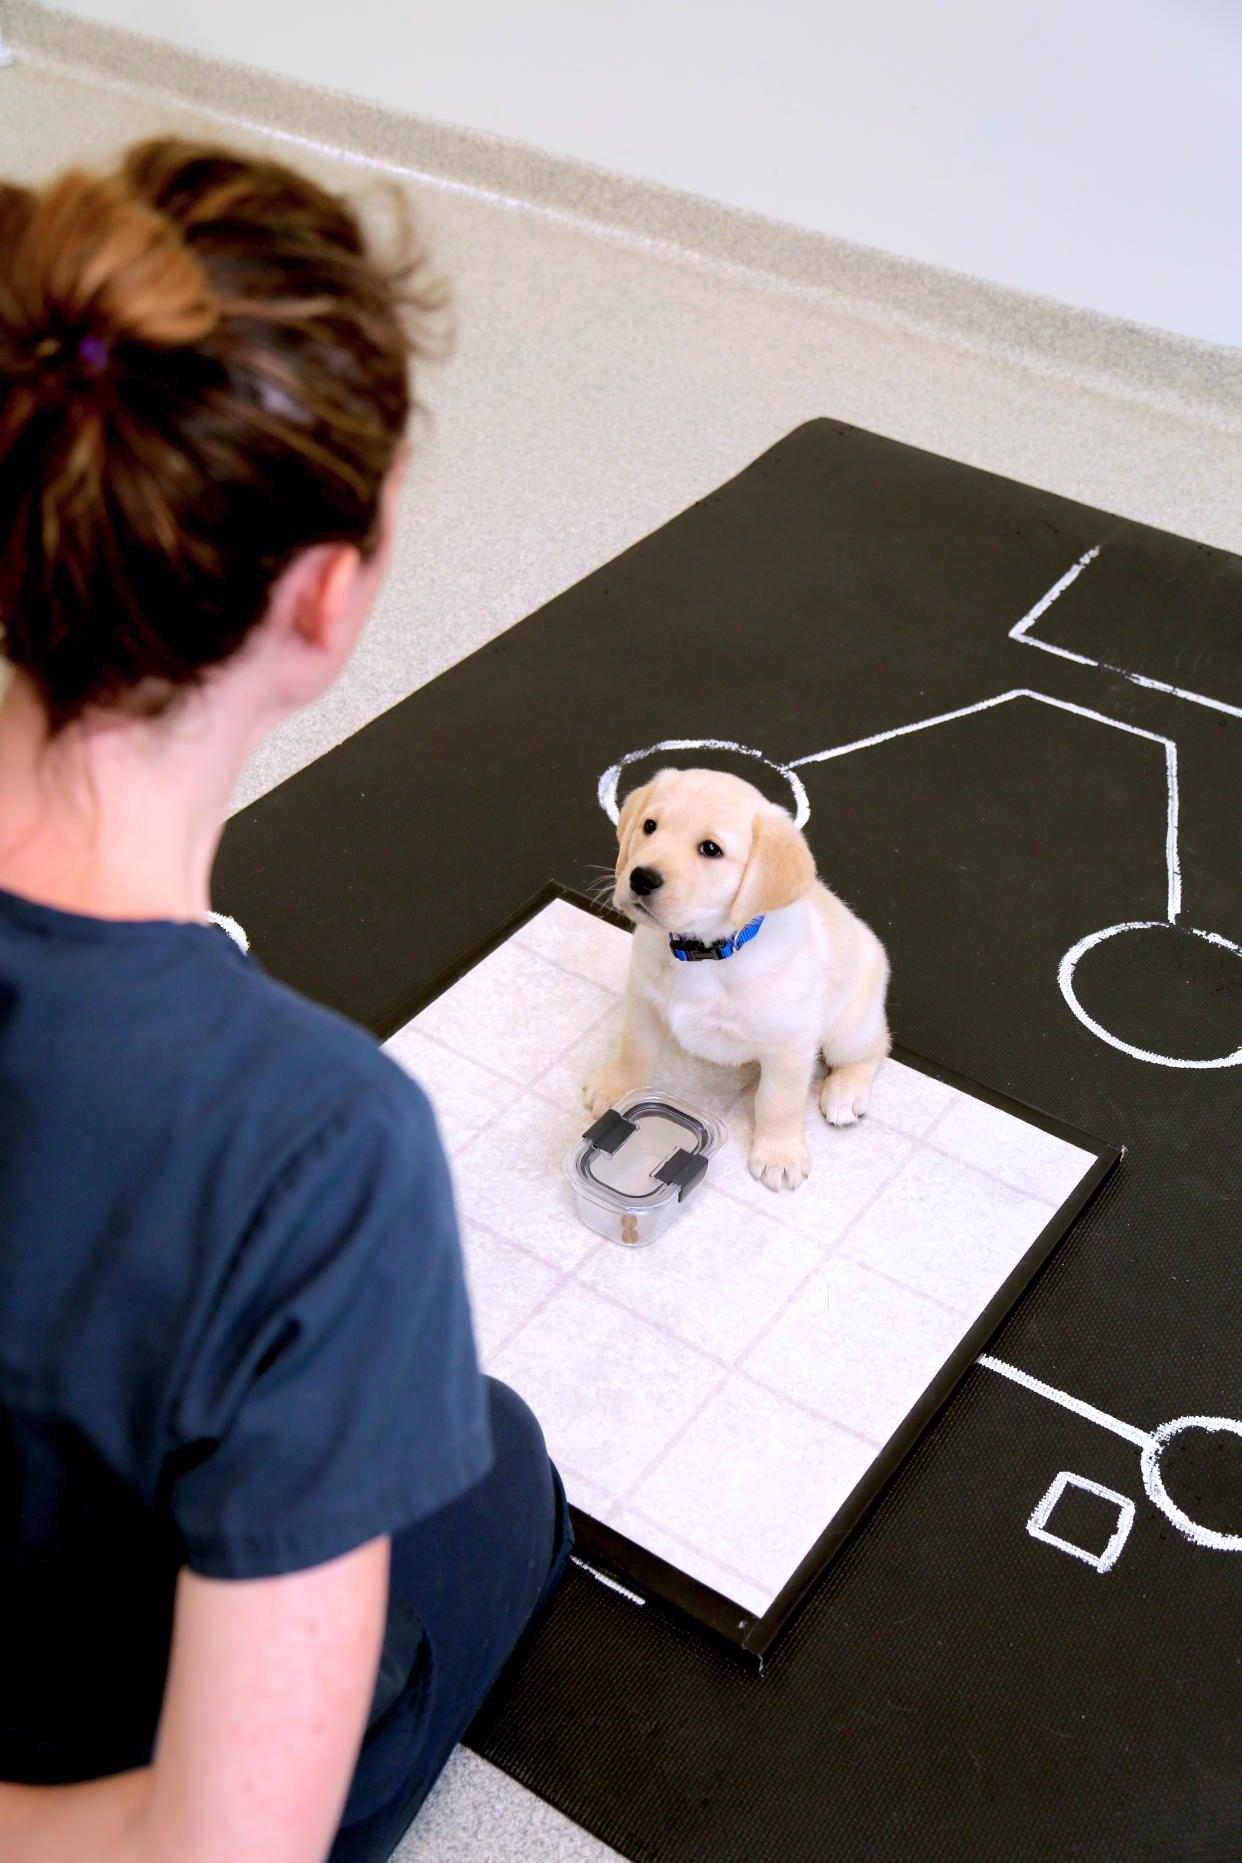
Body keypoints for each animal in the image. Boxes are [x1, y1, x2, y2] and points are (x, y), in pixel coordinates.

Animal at [588, 767, 890, 1192]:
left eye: (710, 849)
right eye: (649, 826)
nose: (641, 878)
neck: (705, 952)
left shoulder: (791, 1043)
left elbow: (778, 1101)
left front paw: (780, 1154)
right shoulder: (643, 1000)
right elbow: (635, 1050)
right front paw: (615, 1087)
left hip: (849, 1026)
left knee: (875, 1046)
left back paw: (845, 1092)